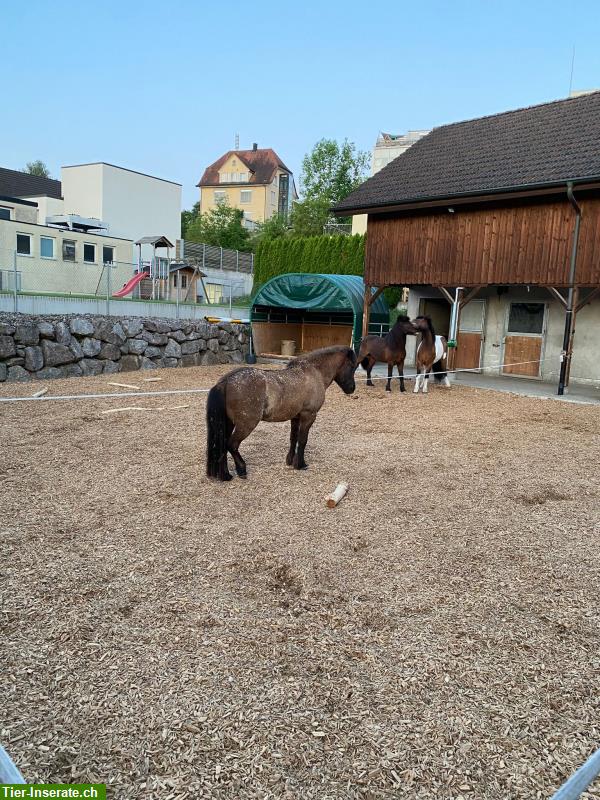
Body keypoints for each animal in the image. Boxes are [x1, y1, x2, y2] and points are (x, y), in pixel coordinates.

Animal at [206, 346, 356, 482]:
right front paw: (300, 464)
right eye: (352, 366)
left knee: (223, 446)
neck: (313, 373)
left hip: (229, 424)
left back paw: (226, 475)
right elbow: (303, 440)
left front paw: (290, 461)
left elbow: (293, 438)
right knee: (232, 445)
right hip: (246, 424)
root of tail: (226, 382)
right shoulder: (308, 416)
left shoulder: (296, 417)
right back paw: (241, 470)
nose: (352, 388)